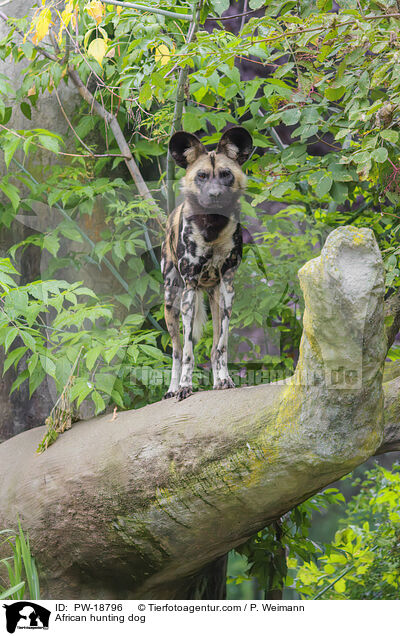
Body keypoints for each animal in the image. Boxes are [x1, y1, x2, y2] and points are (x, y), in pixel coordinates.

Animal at [160, 126, 252, 400]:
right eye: (201, 175)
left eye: (225, 174)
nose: (214, 195)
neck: (212, 226)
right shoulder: (189, 289)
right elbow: (188, 352)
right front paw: (185, 386)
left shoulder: (227, 288)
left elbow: (220, 346)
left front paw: (224, 379)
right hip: (171, 300)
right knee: (177, 350)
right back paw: (172, 388)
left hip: (214, 297)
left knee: (213, 347)